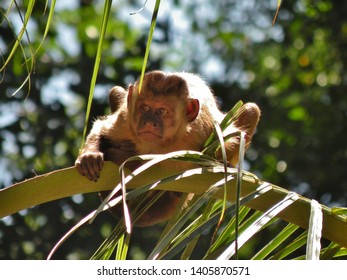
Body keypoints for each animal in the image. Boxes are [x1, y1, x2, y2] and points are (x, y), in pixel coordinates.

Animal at [75, 71, 260, 226]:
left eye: (162, 111)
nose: (149, 122)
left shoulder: (202, 130)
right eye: (144, 108)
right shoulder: (125, 120)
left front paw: (124, 156)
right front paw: (90, 156)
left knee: (252, 110)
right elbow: (102, 128)